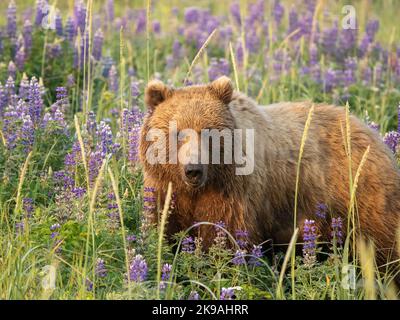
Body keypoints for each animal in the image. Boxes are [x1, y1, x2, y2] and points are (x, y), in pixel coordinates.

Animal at [138, 77, 400, 270]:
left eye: (209, 132)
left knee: (384, 247)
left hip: (361, 195)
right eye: (178, 132)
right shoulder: (165, 188)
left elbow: (225, 237)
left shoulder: (234, 194)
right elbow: (165, 228)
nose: (194, 169)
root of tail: (373, 133)